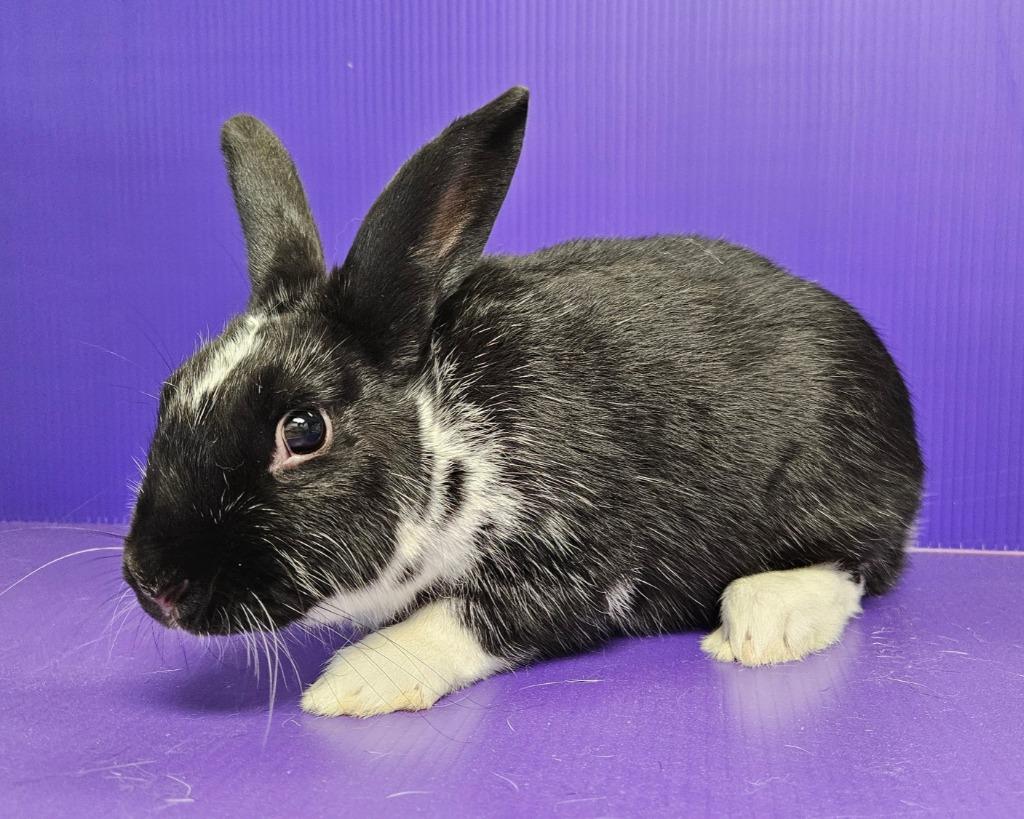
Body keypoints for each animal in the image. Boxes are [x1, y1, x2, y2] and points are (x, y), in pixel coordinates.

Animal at [122, 87, 924, 717]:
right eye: (169, 393)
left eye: (303, 429)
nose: (153, 583)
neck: (449, 418)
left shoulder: (584, 563)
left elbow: (463, 617)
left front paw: (350, 685)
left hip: (834, 487)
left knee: (862, 561)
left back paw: (764, 624)